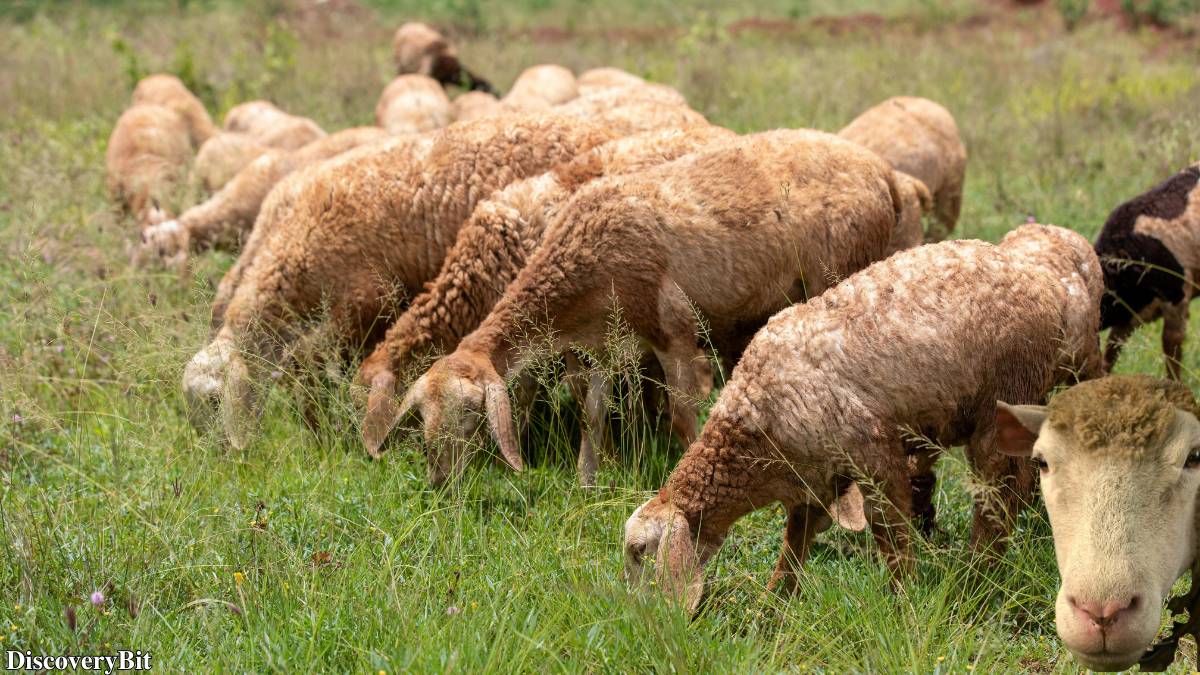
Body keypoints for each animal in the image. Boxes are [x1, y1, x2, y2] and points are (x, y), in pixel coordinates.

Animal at [183, 114, 618, 448]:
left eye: (214, 401)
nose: (216, 455)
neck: (300, 246)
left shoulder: (363, 308)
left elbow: (308, 367)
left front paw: (325, 431)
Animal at [622, 223, 1103, 612]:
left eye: (639, 552)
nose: (643, 618)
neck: (751, 427)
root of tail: (1043, 277)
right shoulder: (814, 479)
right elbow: (796, 540)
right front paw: (772, 604)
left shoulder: (873, 454)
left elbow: (888, 530)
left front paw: (903, 599)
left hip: (1004, 398)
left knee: (996, 499)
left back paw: (977, 579)